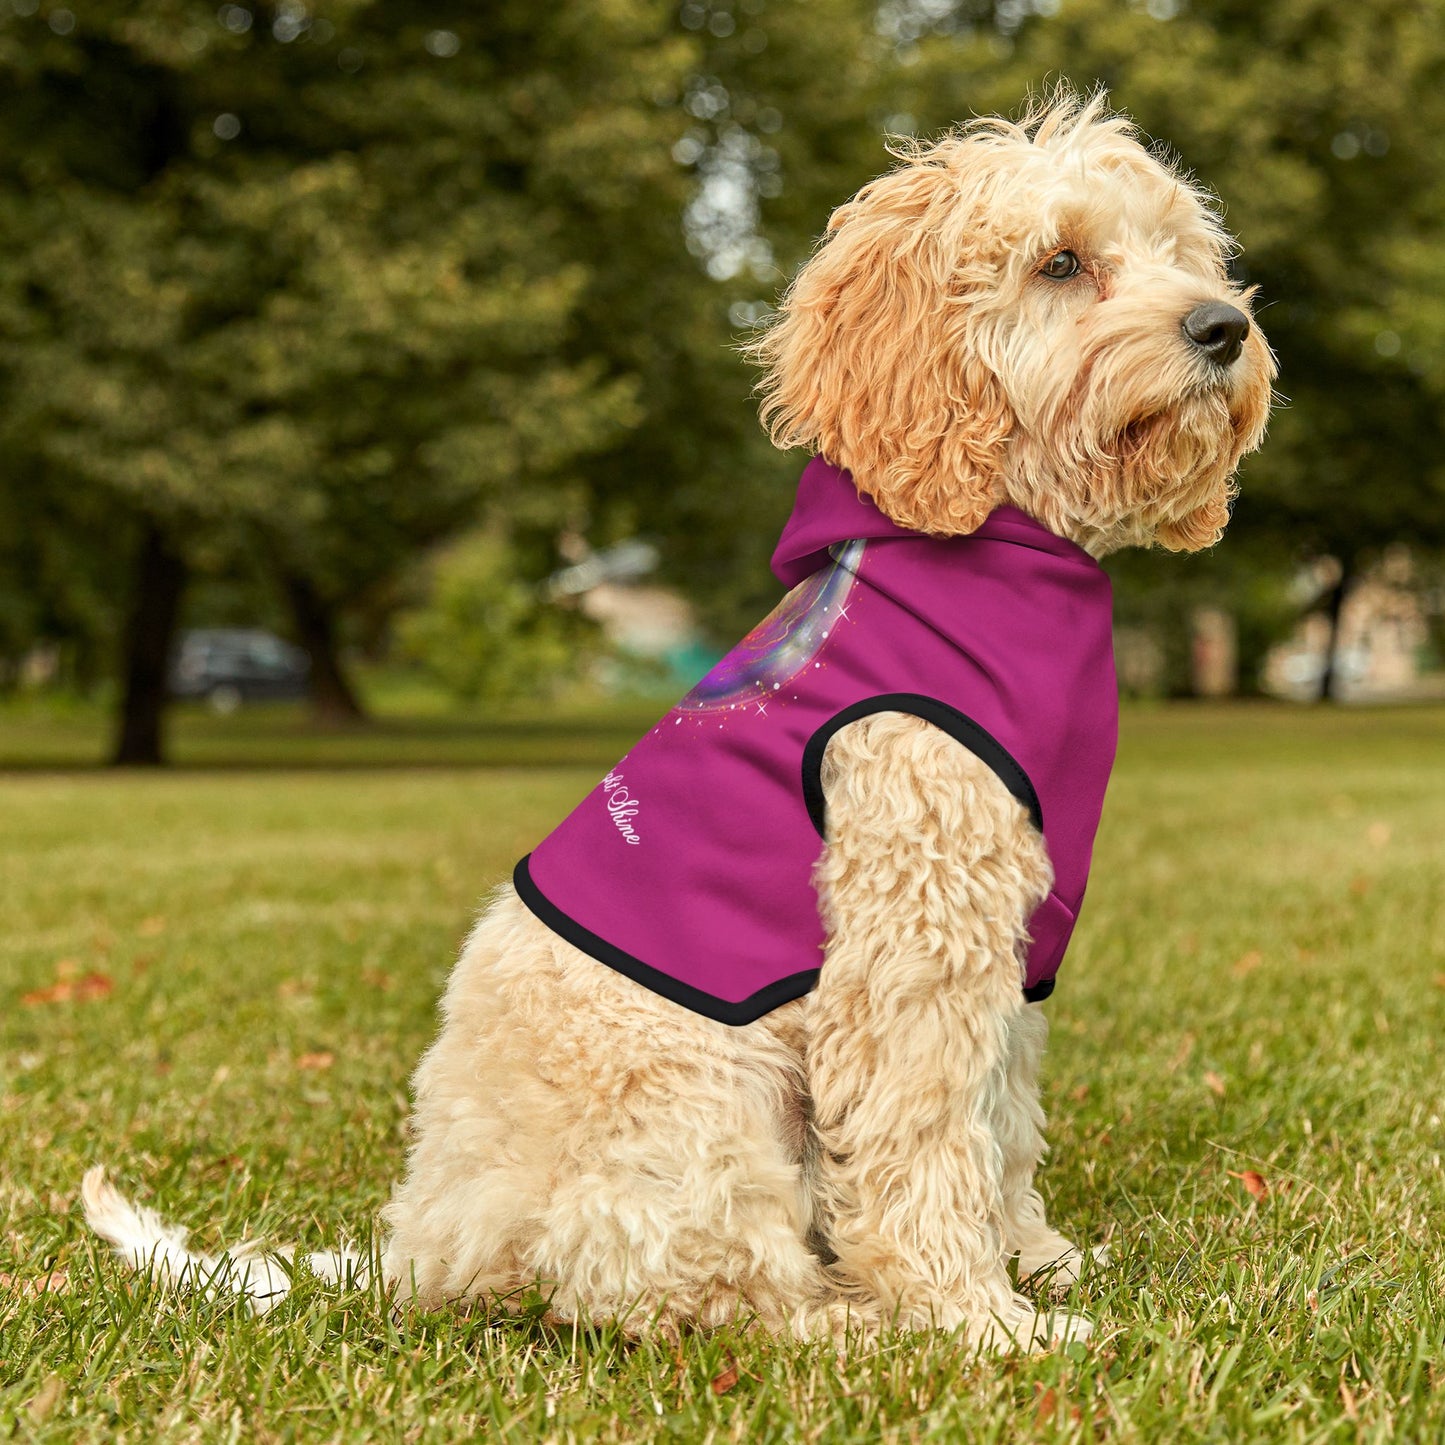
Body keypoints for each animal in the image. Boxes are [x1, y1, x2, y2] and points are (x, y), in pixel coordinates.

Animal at [84, 93, 1271, 1352]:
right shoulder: (912, 936)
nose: (1222, 327)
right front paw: (976, 1318)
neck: (995, 549)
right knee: (701, 1292)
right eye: (1059, 262)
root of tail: (424, 1246)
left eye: (1180, 252)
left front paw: (1035, 1259)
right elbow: (924, 1138)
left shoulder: (1009, 943)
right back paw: (853, 1322)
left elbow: (999, 1120)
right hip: (702, 1101)